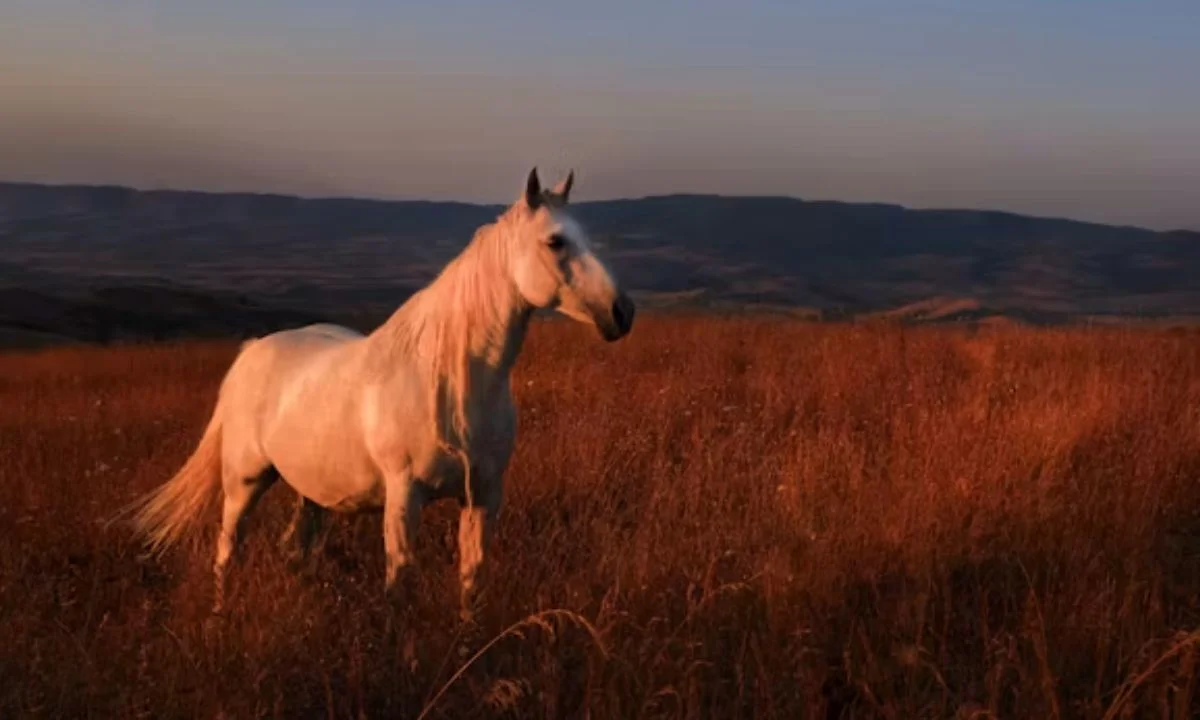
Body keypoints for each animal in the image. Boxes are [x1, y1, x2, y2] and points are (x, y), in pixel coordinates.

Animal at [119, 168, 635, 619]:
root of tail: (253, 351)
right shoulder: (404, 496)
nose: (622, 312)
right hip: (244, 481)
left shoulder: (484, 496)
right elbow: (399, 582)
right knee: (228, 549)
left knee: (296, 549)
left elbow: (472, 581)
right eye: (555, 241)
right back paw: (219, 616)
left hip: (313, 492)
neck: (452, 385)